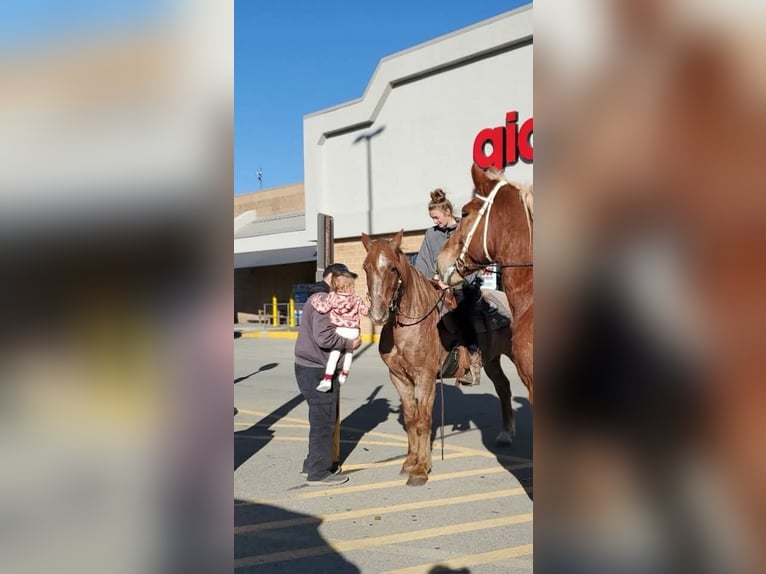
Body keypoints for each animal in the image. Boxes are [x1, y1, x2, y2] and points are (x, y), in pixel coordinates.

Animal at [364, 227, 520, 488]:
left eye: (393, 268)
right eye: (366, 267)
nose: (378, 314)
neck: (411, 325)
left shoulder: (425, 378)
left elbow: (423, 420)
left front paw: (421, 469)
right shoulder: (399, 378)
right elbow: (411, 419)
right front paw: (410, 462)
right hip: (491, 360)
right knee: (504, 387)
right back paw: (506, 434)